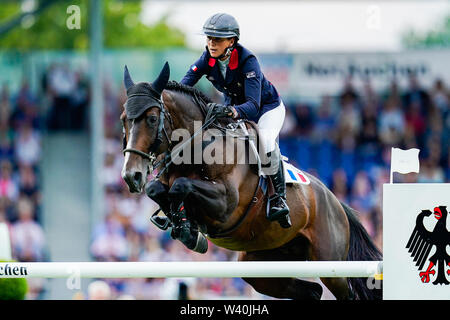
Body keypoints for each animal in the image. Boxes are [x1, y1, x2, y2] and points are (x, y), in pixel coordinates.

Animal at [120, 62, 384, 300]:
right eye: (124, 119)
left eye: (152, 119)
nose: (131, 176)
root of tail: (336, 202)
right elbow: (157, 189)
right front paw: (184, 227)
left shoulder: (225, 205)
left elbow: (181, 186)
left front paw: (189, 231)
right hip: (264, 265)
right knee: (312, 291)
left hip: (330, 265)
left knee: (345, 293)